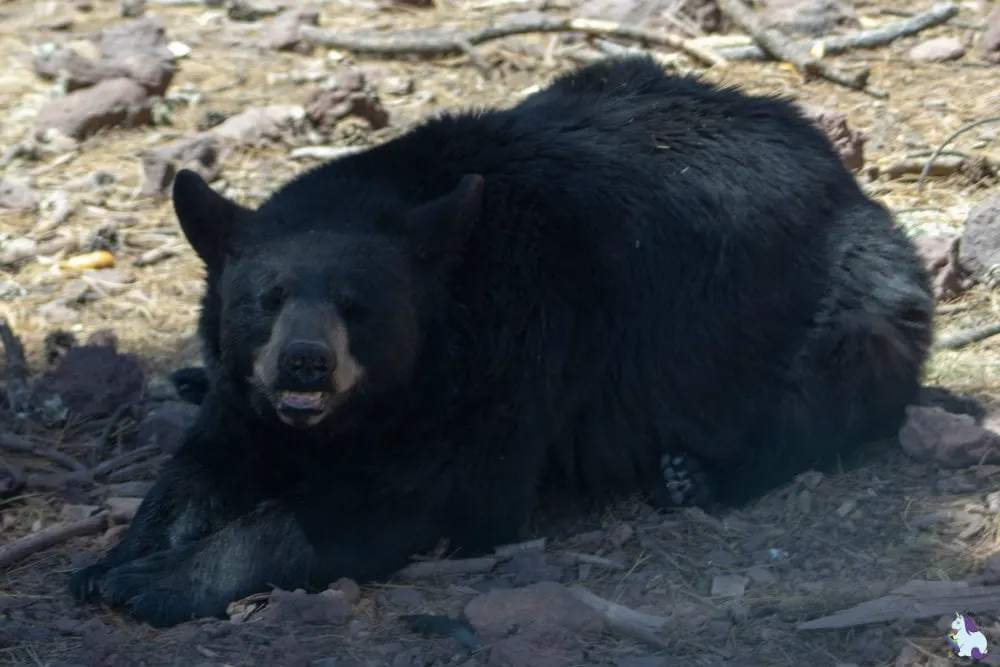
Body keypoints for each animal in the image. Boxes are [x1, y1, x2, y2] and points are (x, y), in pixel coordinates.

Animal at [68, 56, 928, 628]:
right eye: (265, 300)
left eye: (358, 306)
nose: (304, 361)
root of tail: (842, 172)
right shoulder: (251, 395)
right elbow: (206, 461)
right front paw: (113, 559)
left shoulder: (515, 347)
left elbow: (415, 492)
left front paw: (162, 580)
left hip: (857, 298)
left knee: (831, 391)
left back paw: (697, 475)